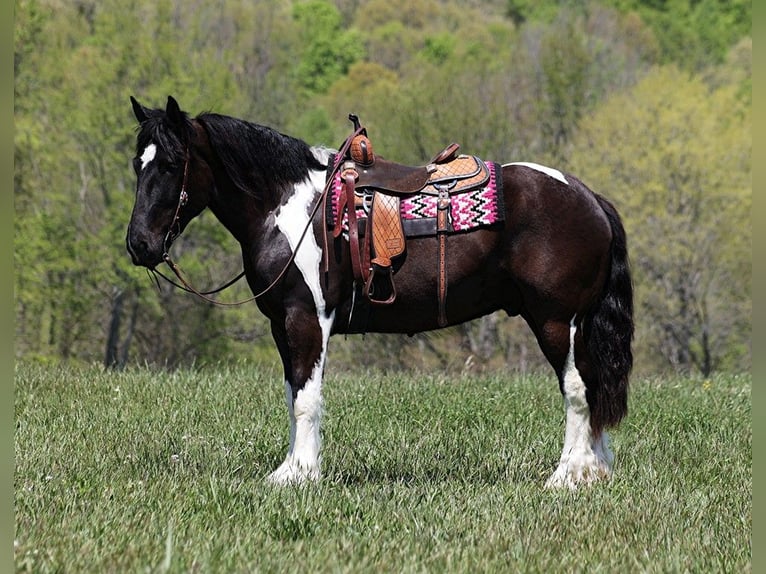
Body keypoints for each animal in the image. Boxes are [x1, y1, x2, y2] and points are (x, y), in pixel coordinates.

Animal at [124, 95, 636, 490]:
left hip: (556, 321)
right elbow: (293, 393)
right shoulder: (281, 324)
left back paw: (567, 476)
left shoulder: (306, 318)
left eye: (170, 164)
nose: (139, 245)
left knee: (577, 390)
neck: (290, 206)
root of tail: (589, 198)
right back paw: (595, 470)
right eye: (137, 163)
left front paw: (302, 475)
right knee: (594, 387)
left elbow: (307, 397)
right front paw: (291, 470)